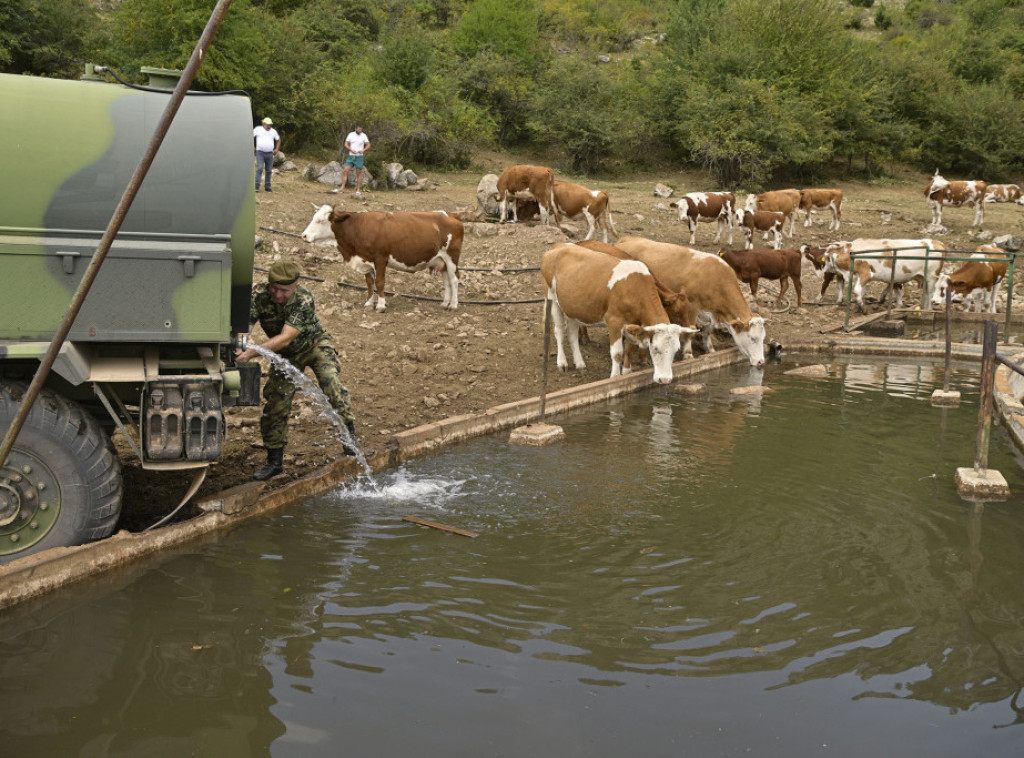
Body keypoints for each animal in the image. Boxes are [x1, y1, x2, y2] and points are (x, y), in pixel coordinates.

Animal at [299, 203, 464, 311]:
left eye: (320, 221)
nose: (303, 235)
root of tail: (451, 214)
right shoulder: (365, 260)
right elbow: (369, 283)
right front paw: (369, 303)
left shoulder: (380, 259)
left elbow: (379, 283)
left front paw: (380, 305)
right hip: (441, 261)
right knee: (447, 281)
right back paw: (445, 303)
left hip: (452, 258)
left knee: (454, 280)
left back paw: (454, 305)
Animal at [610, 235, 765, 368]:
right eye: (752, 338)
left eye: (763, 338)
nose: (761, 362)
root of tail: (626, 239)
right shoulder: (693, 306)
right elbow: (691, 330)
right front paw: (688, 354)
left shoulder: (709, 311)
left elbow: (708, 330)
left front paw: (710, 349)